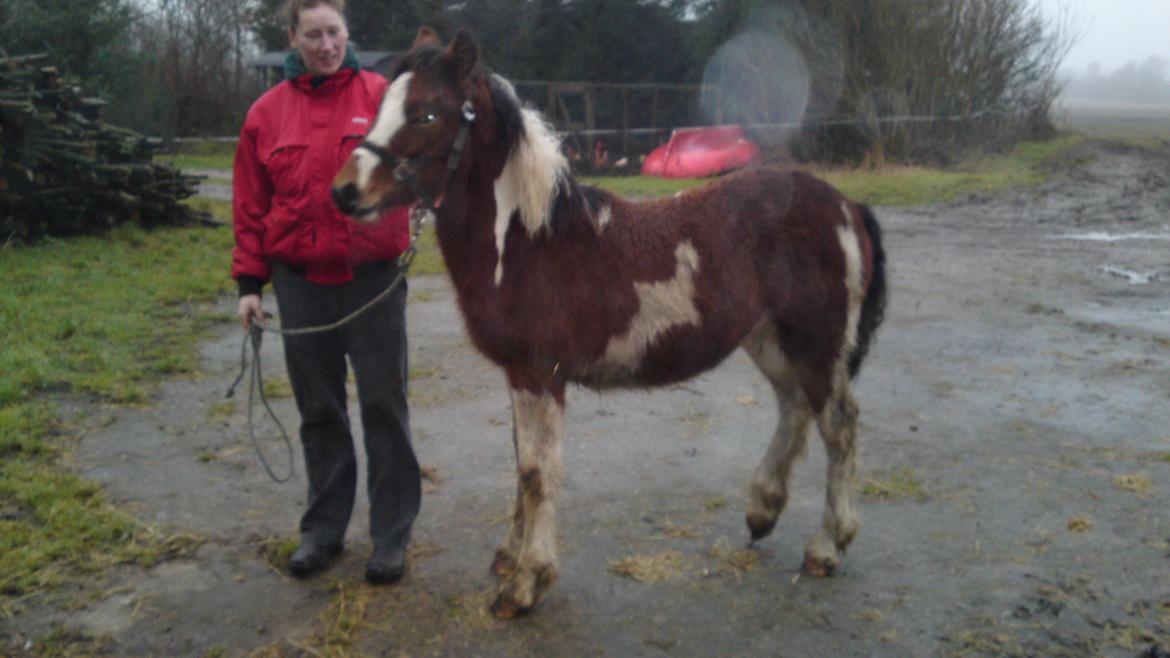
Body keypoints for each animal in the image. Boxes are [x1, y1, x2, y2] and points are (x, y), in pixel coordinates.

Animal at [332, 28, 884, 613]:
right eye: (381, 106)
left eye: (427, 113)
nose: (344, 191)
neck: (531, 240)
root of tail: (846, 205)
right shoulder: (518, 376)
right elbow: (521, 461)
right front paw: (510, 555)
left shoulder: (539, 374)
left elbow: (536, 471)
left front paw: (526, 582)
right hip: (771, 340)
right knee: (794, 407)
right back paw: (762, 511)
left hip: (818, 344)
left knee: (839, 426)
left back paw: (827, 546)